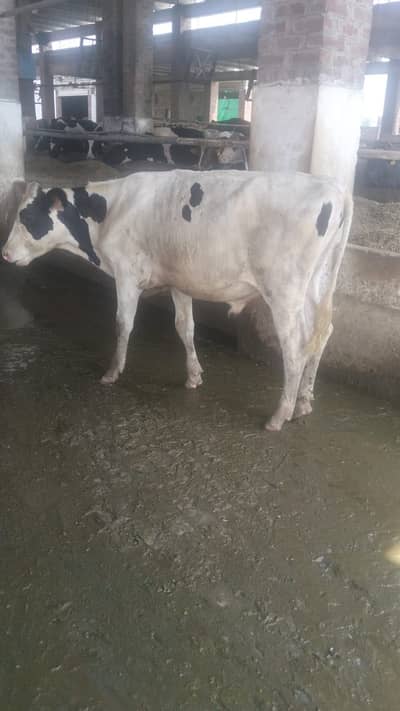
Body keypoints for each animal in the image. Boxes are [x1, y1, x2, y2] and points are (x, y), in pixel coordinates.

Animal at [1, 171, 353, 431]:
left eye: (27, 217)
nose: (4, 253)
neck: (110, 212)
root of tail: (335, 189)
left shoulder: (126, 274)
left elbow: (122, 324)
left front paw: (112, 371)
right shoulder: (179, 281)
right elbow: (185, 327)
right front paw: (194, 375)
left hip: (284, 292)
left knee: (294, 349)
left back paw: (280, 414)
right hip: (315, 285)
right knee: (322, 334)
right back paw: (304, 401)